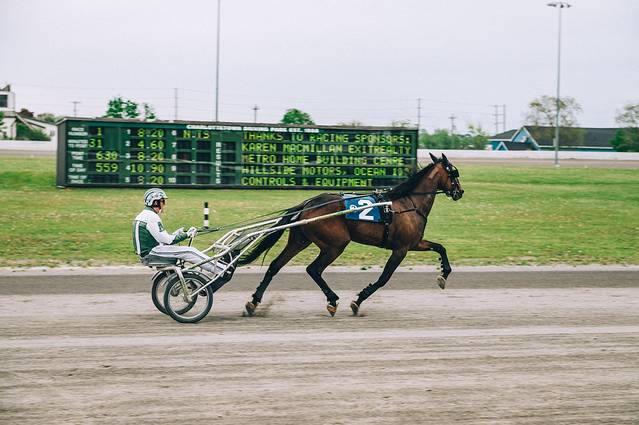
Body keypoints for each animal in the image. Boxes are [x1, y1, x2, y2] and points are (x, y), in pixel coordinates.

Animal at [237, 152, 464, 316]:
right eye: (454, 173)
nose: (460, 192)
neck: (408, 204)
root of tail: (307, 205)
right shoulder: (401, 249)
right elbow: (384, 278)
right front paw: (358, 300)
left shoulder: (414, 243)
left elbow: (440, 248)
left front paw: (443, 275)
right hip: (335, 244)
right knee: (313, 269)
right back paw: (332, 300)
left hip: (301, 240)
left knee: (275, 265)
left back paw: (254, 302)